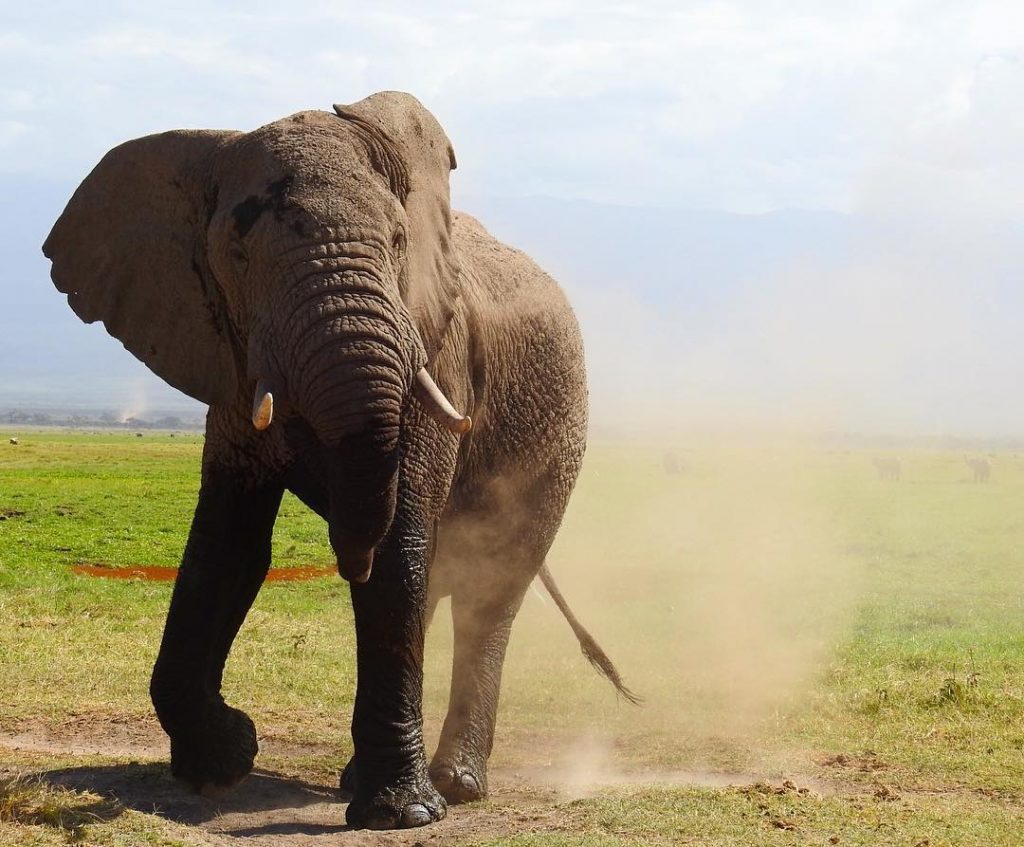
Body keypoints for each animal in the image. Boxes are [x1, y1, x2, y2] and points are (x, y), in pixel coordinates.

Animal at [42, 91, 634, 831]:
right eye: (237, 252)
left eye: (399, 242)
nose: (348, 553)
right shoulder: (230, 359)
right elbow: (228, 546)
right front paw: (225, 760)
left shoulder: (435, 351)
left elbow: (402, 542)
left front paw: (402, 814)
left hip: (560, 426)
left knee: (486, 587)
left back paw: (457, 783)